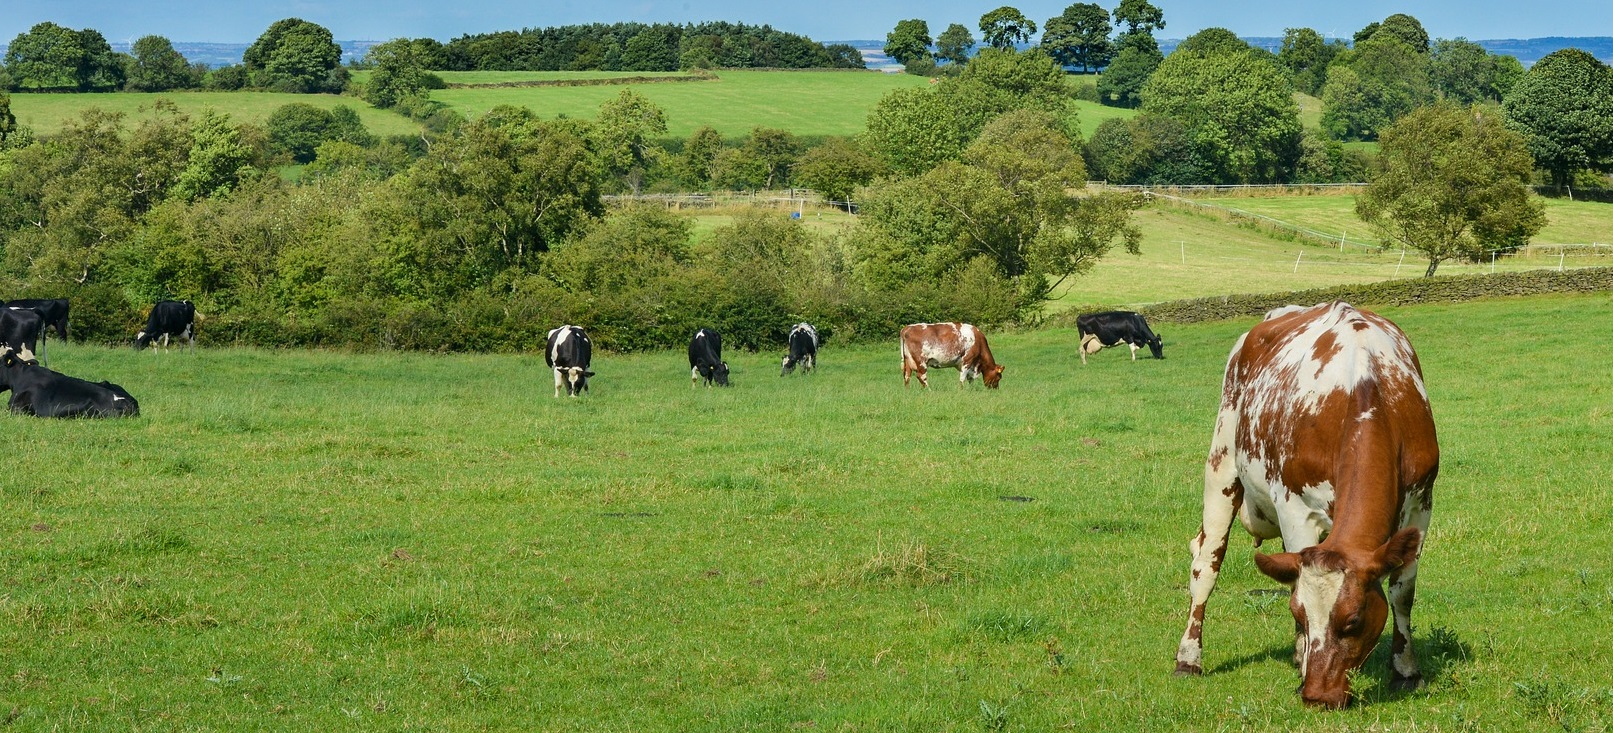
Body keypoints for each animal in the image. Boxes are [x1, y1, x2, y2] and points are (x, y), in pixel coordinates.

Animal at [1174, 301, 1438, 710]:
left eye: (1354, 620)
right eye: (1299, 613)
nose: (1318, 696)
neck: (1367, 389)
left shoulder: (1421, 504)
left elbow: (1402, 593)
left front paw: (1406, 671)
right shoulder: (1295, 508)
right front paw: (1303, 661)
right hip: (1221, 462)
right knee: (1206, 562)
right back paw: (1189, 657)